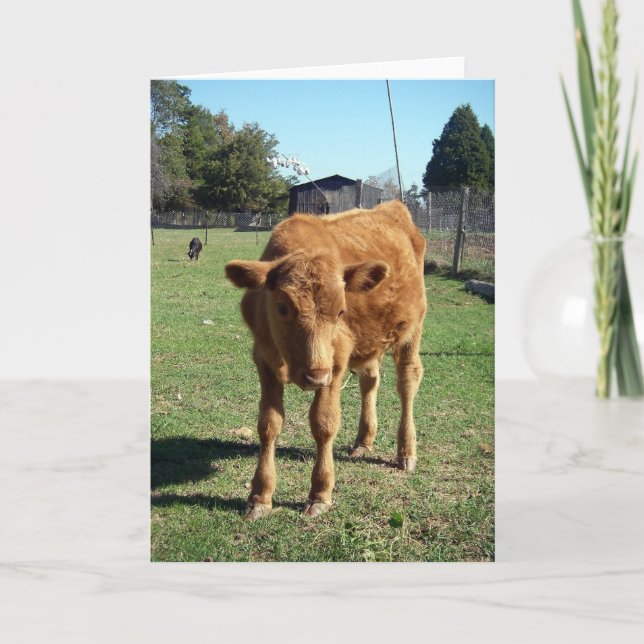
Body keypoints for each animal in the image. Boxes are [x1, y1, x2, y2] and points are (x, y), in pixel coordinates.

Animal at [225, 200, 427, 520]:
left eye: (341, 311)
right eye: (282, 307)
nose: (315, 376)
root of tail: (393, 208)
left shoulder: (336, 361)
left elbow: (324, 423)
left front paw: (320, 493)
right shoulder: (263, 358)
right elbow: (268, 424)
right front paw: (260, 496)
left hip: (411, 330)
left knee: (407, 382)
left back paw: (406, 453)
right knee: (370, 381)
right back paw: (363, 442)